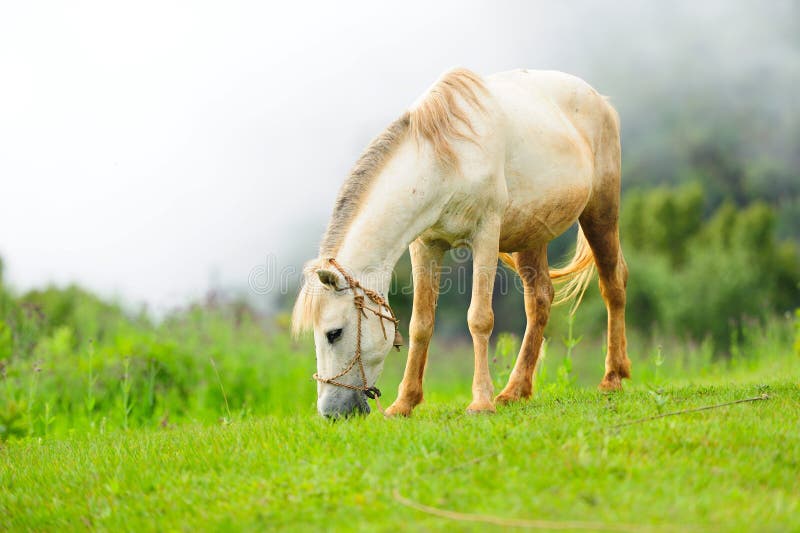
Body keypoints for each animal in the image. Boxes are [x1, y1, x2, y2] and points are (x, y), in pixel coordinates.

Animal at [293, 68, 630, 418]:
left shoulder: (486, 236)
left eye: (334, 333)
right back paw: (515, 391)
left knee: (612, 283)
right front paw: (404, 403)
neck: (447, 162)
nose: (331, 412)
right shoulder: (426, 245)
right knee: (540, 299)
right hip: (532, 235)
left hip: (600, 213)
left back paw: (612, 378)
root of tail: (600, 100)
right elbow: (421, 324)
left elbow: (480, 319)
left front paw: (480, 402)